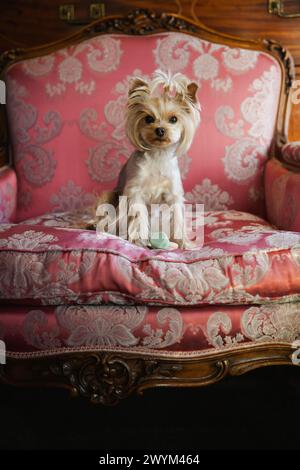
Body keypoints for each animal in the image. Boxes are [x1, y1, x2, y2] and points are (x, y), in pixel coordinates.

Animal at [90, 70, 200, 250]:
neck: (158, 155)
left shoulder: (173, 195)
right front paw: (139, 241)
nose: (160, 130)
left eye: (174, 119)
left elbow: (178, 219)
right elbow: (138, 217)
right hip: (109, 196)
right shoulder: (135, 192)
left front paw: (184, 243)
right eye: (148, 119)